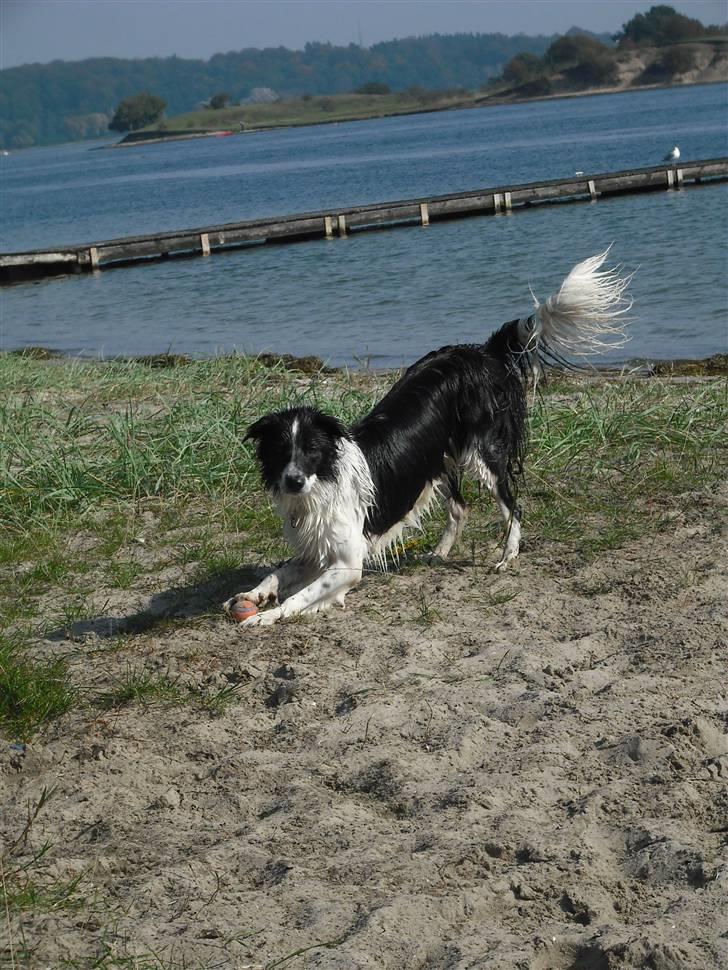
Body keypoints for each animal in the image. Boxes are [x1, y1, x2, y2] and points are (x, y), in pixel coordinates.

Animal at [228, 251, 632, 628]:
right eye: (282, 451)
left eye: (311, 450)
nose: (293, 481)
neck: (323, 482)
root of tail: (480, 351)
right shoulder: (316, 549)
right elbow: (279, 571)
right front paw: (254, 595)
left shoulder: (348, 561)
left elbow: (300, 597)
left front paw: (267, 616)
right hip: (442, 458)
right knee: (460, 507)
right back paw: (440, 552)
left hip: (485, 454)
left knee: (512, 506)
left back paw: (507, 556)